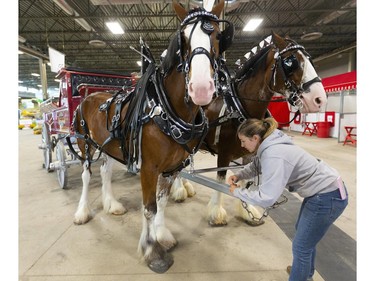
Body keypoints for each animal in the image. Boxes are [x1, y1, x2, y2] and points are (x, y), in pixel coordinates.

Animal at [69, 0, 231, 272]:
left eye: (219, 36)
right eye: (183, 39)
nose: (200, 88)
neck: (167, 109)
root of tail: (90, 95)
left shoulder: (172, 167)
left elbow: (162, 202)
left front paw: (163, 235)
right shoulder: (148, 167)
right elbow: (149, 208)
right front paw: (151, 249)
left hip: (109, 146)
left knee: (105, 171)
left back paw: (111, 204)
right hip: (85, 143)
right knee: (86, 175)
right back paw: (82, 211)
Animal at [171, 32, 328, 225]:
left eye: (310, 59)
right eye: (290, 61)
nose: (319, 99)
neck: (238, 107)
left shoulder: (250, 154)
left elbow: (246, 182)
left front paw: (248, 211)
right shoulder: (224, 154)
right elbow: (220, 181)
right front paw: (216, 214)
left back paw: (186, 187)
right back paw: (179, 191)